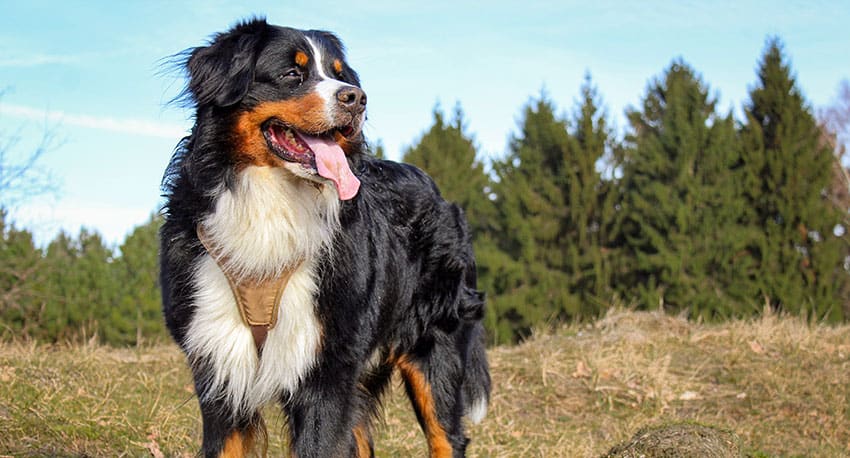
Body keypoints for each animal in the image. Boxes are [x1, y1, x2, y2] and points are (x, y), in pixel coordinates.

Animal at [161, 17, 490, 458]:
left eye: (340, 75)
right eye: (292, 74)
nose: (357, 98)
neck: (271, 206)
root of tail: (442, 195)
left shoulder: (326, 372)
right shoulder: (220, 370)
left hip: (435, 350)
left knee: (447, 437)